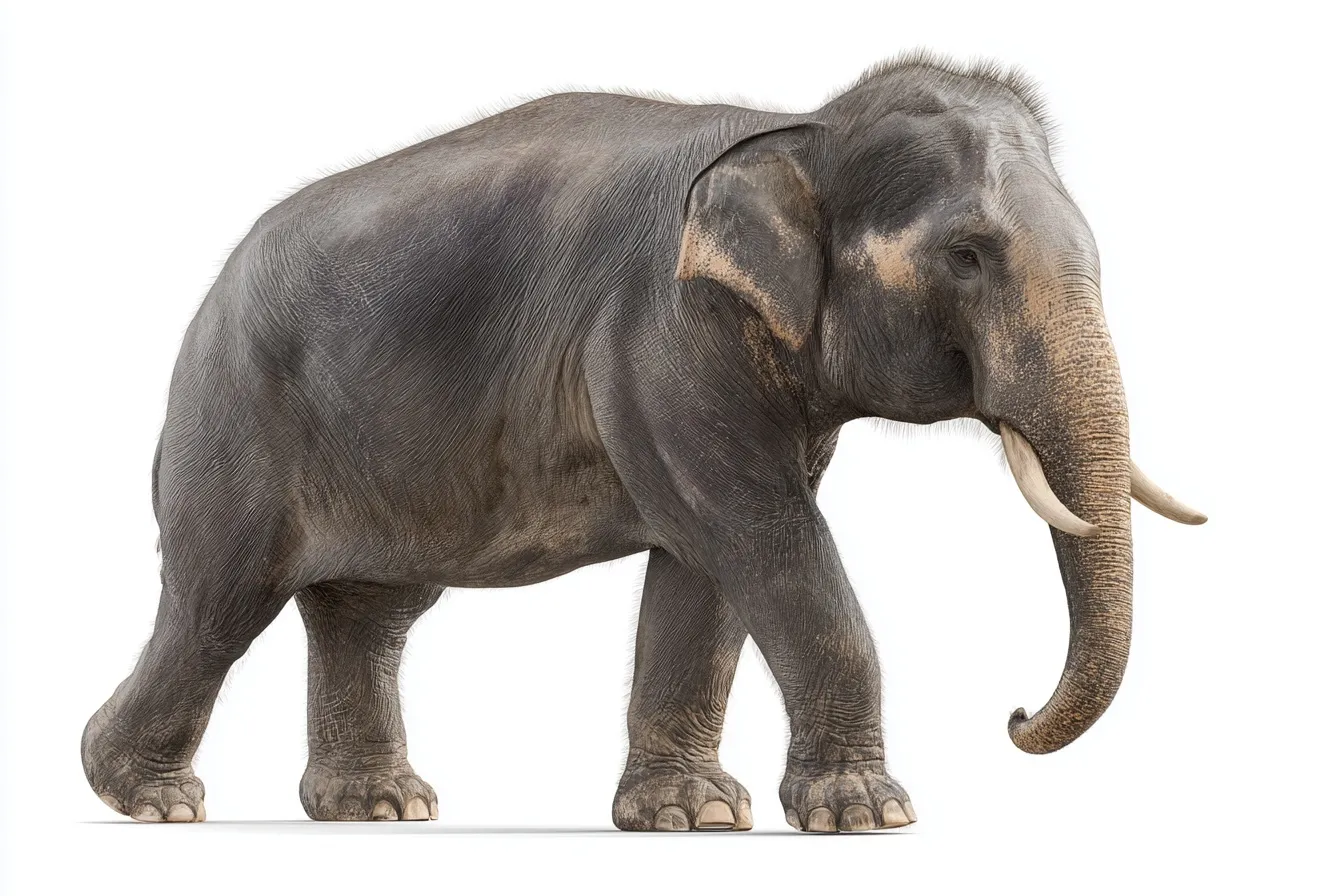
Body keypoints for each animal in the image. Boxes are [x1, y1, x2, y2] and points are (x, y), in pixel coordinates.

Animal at [81, 51, 1205, 832]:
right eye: (967, 255)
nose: (1012, 716)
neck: (797, 131)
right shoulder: (662, 332)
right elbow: (763, 539)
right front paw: (867, 814)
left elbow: (708, 571)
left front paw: (690, 815)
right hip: (234, 425)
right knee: (217, 603)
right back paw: (149, 799)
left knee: (371, 610)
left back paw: (379, 807)